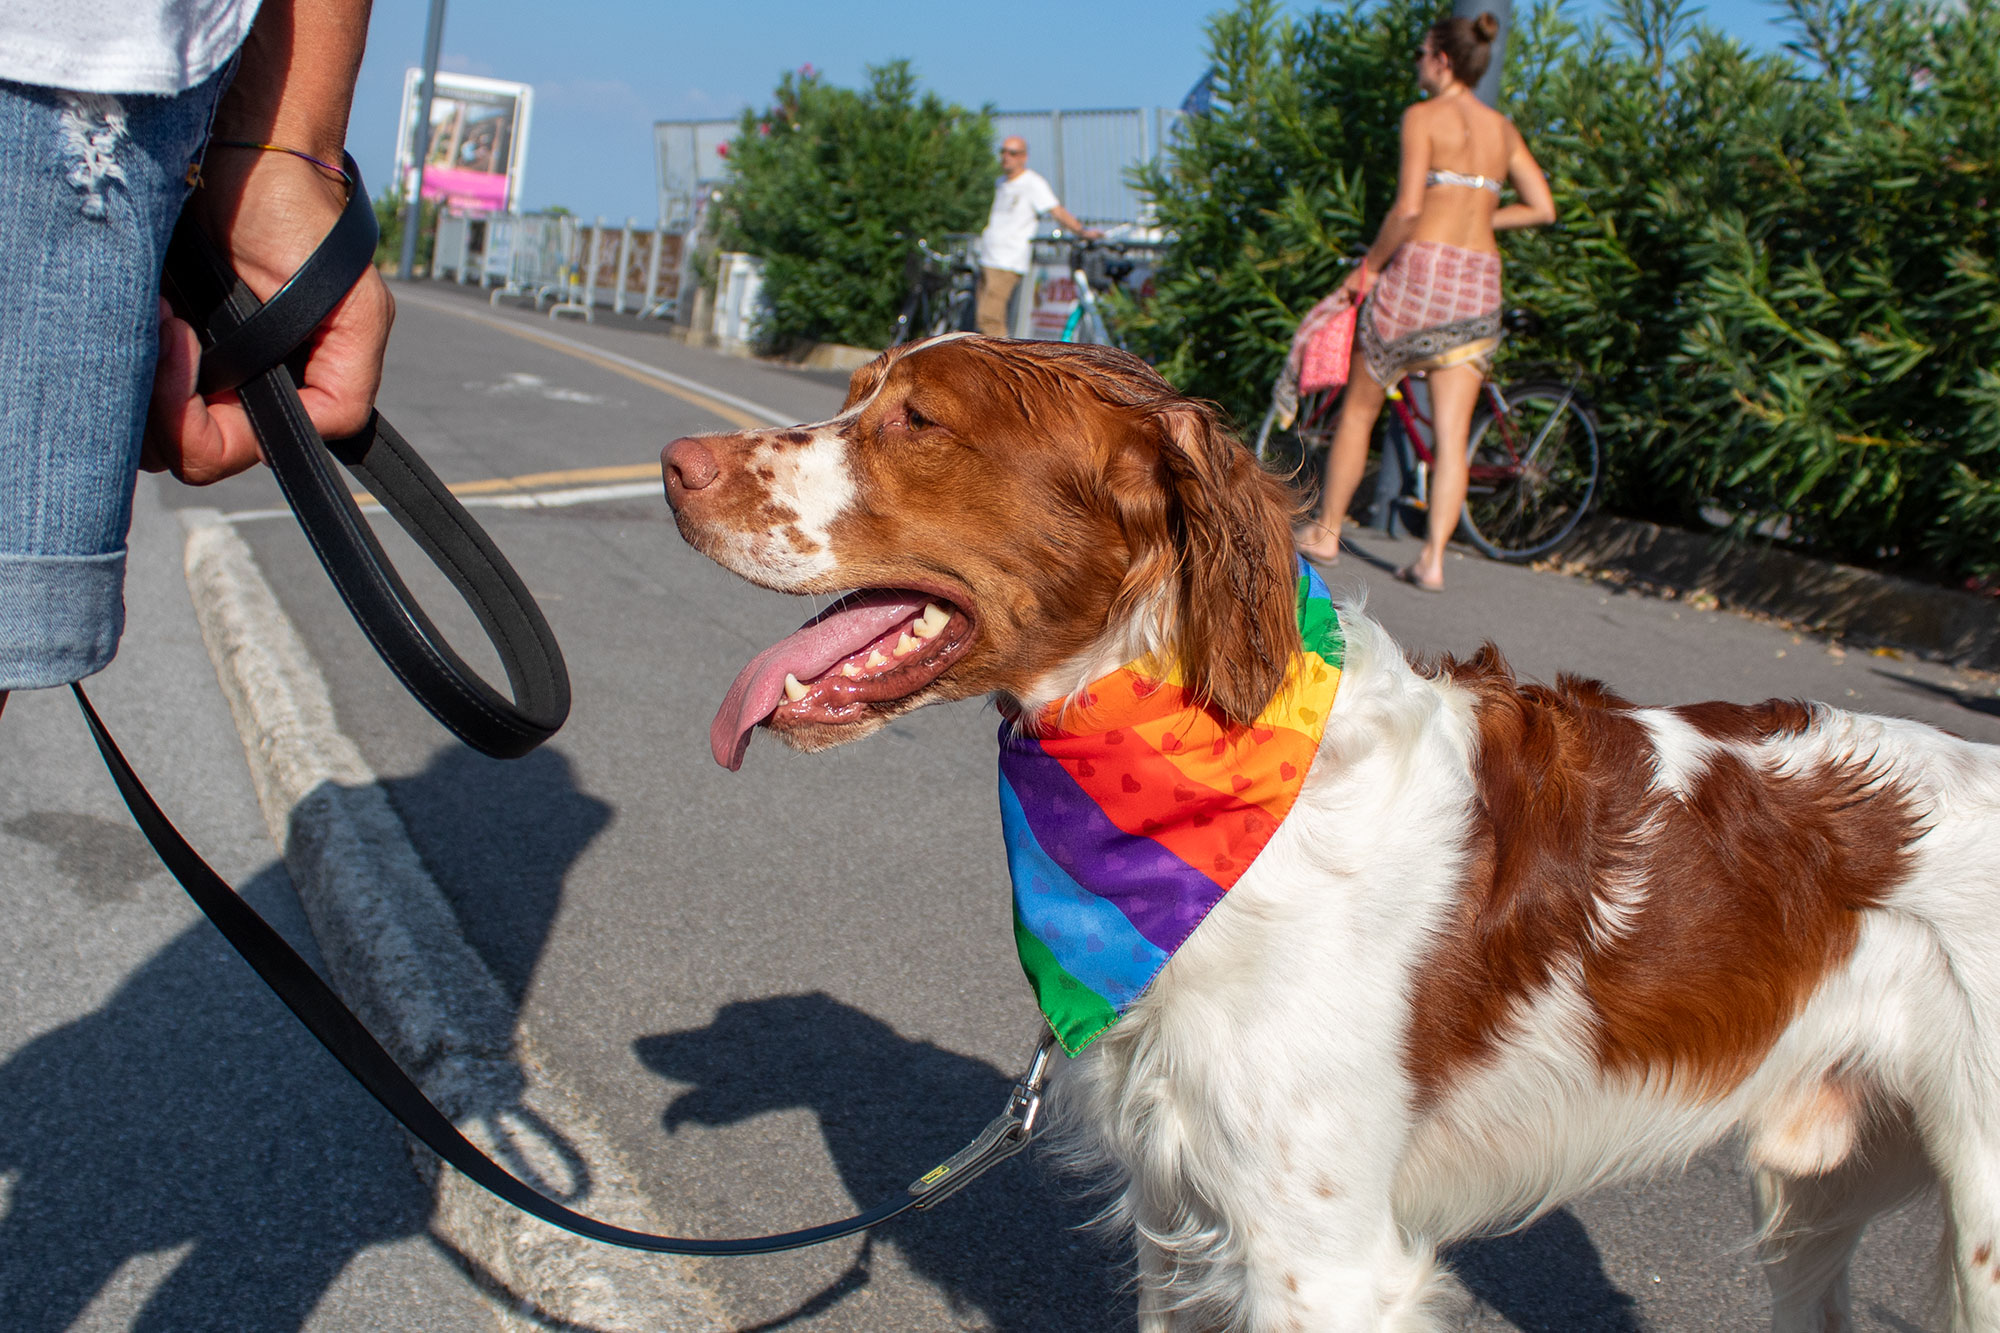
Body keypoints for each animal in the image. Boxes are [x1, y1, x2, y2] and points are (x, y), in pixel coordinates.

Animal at [664, 334, 2000, 1328]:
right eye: (855, 394)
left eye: (918, 422)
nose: (676, 464)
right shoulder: (1182, 1218)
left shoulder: (1320, 1255)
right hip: (1821, 1193)